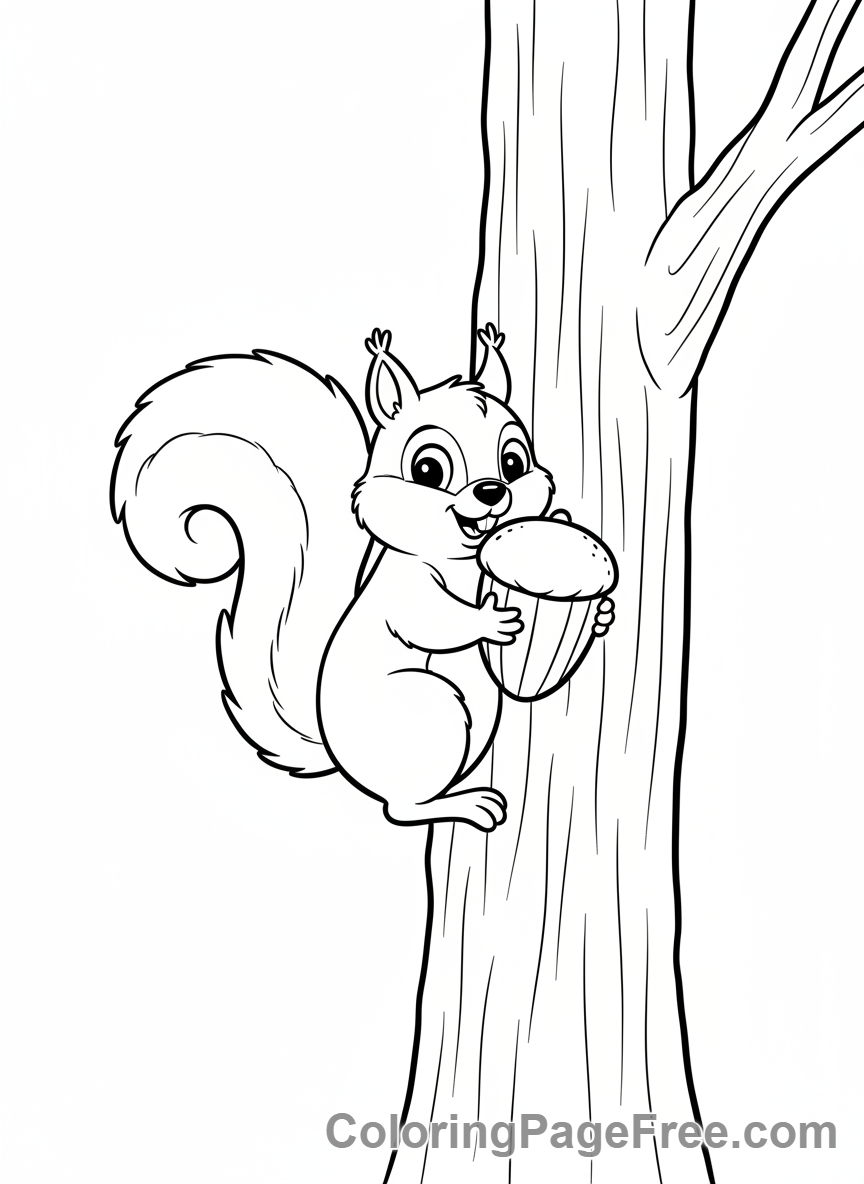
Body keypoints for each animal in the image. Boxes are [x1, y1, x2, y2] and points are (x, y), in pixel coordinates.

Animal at [112, 324, 607, 831]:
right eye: (427, 469)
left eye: (514, 463)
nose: (492, 491)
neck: (459, 562)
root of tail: (340, 756)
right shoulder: (405, 593)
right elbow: (431, 621)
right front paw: (492, 620)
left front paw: (599, 614)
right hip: (430, 710)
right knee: (399, 807)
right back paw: (464, 805)